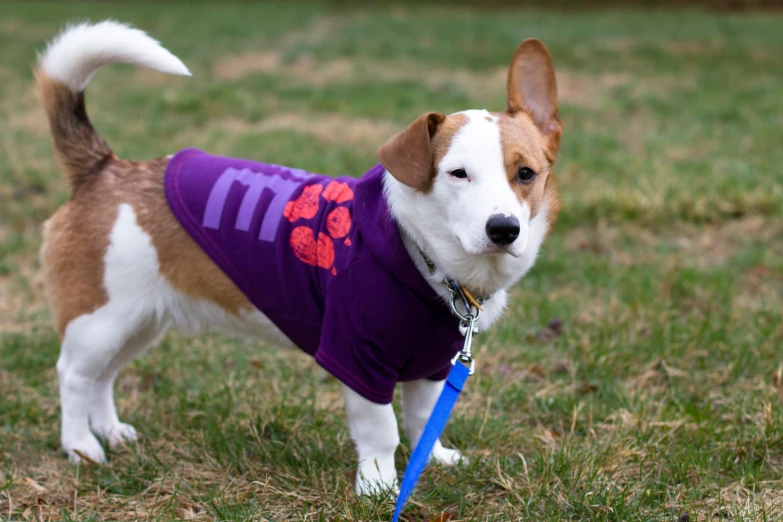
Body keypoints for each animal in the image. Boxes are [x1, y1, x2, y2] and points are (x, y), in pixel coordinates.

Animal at [36, 19, 560, 492]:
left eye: (526, 173)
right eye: (458, 174)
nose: (503, 229)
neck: (420, 254)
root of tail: (105, 169)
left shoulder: (432, 367)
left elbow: (423, 420)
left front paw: (433, 459)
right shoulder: (358, 359)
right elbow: (382, 430)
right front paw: (379, 485)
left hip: (139, 321)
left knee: (103, 376)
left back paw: (109, 430)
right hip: (101, 320)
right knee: (73, 375)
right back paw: (81, 444)